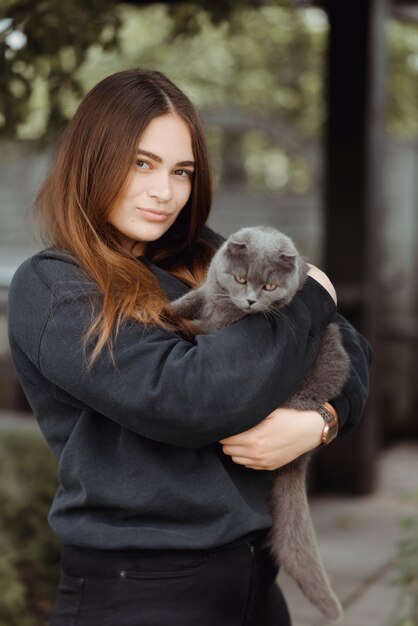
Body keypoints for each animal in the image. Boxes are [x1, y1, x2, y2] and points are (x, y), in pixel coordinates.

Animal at [170, 225, 350, 620]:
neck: (227, 306)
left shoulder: (225, 326)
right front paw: (165, 307)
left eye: (269, 286)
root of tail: (300, 460)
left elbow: (203, 328)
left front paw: (174, 322)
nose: (251, 302)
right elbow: (192, 297)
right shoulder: (209, 288)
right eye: (240, 278)